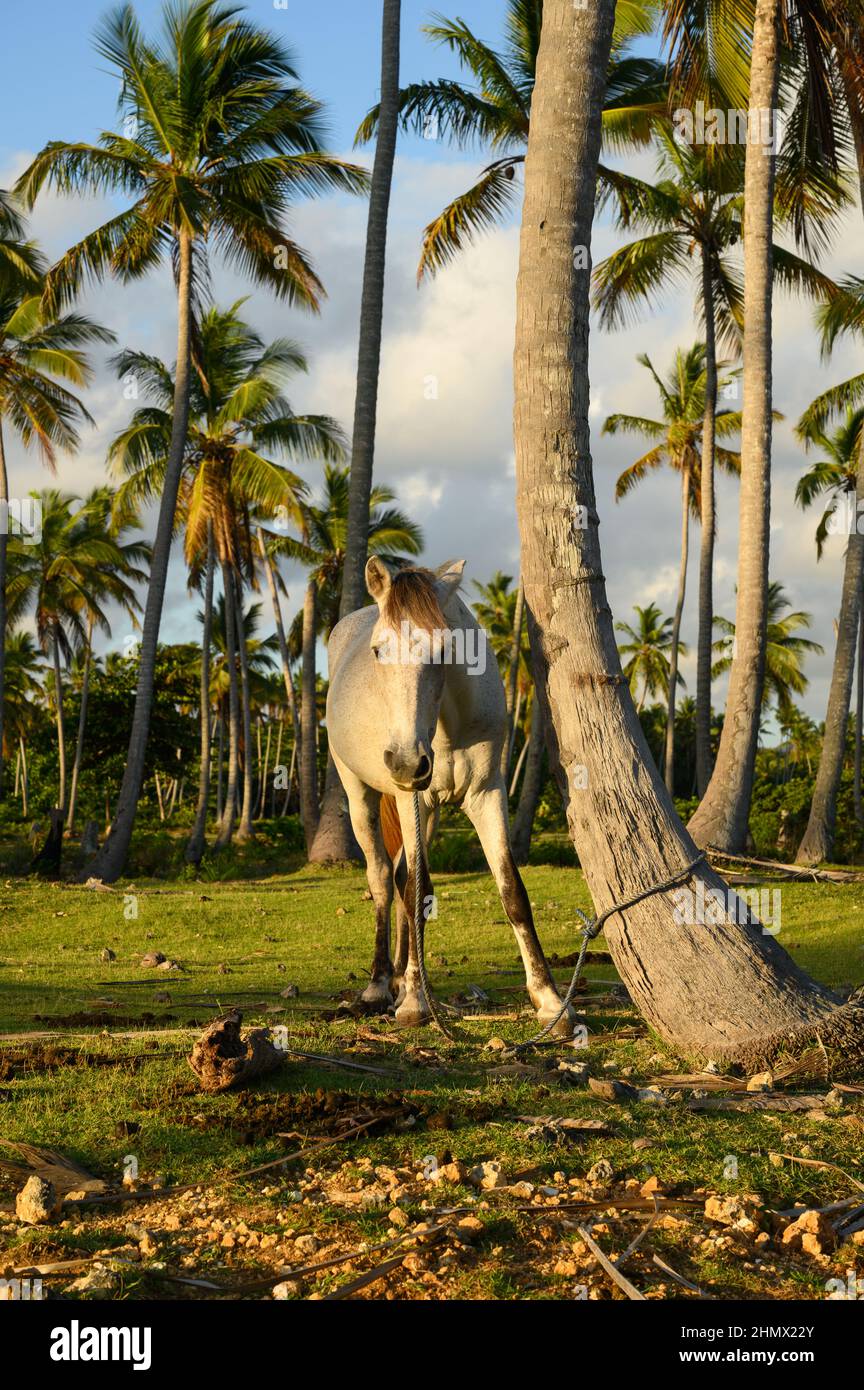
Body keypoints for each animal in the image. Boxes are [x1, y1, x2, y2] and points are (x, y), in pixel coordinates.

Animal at [325, 556, 575, 1034]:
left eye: (443, 650)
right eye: (378, 650)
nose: (407, 763)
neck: (446, 721)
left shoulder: (487, 793)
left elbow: (511, 891)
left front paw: (551, 1002)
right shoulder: (414, 800)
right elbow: (414, 891)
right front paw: (415, 1002)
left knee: (400, 875)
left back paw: (399, 978)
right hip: (361, 793)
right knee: (383, 878)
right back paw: (380, 985)